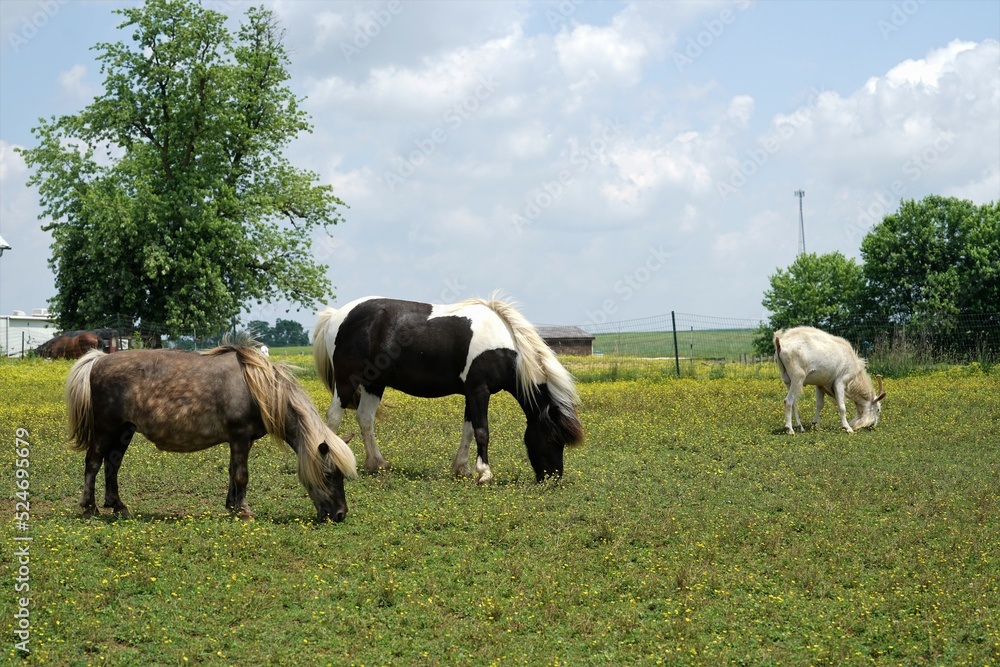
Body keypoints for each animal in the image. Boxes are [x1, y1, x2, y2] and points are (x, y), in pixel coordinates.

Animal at [64, 339, 357, 521]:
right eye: (329, 474)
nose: (340, 515)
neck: (257, 389)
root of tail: (98, 361)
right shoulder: (240, 437)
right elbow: (241, 475)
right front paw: (244, 511)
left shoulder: (241, 441)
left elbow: (232, 472)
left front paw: (232, 506)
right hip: (106, 429)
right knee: (93, 462)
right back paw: (89, 508)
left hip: (125, 431)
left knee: (112, 464)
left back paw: (118, 506)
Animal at [313, 295, 584, 483]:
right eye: (551, 437)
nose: (552, 479)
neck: (505, 347)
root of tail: (337, 315)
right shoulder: (479, 391)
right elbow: (482, 432)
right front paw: (484, 473)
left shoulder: (471, 393)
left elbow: (468, 431)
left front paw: (461, 468)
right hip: (347, 380)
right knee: (333, 417)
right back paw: (331, 465)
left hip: (374, 383)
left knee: (365, 419)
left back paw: (377, 464)